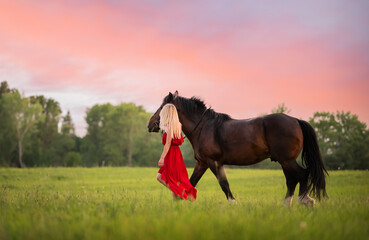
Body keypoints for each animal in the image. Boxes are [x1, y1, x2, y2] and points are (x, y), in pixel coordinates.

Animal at [148, 91, 326, 205]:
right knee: (292, 180)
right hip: (284, 161)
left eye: (162, 107)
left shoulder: (213, 162)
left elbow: (223, 184)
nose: (150, 124)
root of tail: (295, 120)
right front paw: (180, 201)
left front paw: (233, 203)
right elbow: (191, 182)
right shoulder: (202, 163)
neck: (204, 127)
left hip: (286, 160)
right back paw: (287, 204)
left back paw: (305, 201)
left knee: (302, 175)